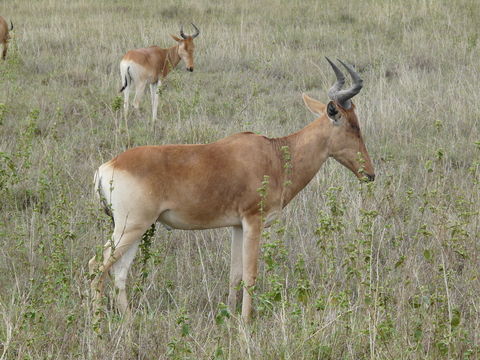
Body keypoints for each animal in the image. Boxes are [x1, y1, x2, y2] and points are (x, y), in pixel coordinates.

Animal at [91, 58, 376, 320]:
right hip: (130, 226)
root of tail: (107, 167)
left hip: (137, 229)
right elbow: (250, 273)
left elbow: (235, 273)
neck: (275, 154)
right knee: (98, 266)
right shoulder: (253, 221)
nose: (370, 174)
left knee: (119, 273)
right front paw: (246, 323)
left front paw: (229, 315)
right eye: (353, 125)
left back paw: (128, 322)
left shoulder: (237, 225)